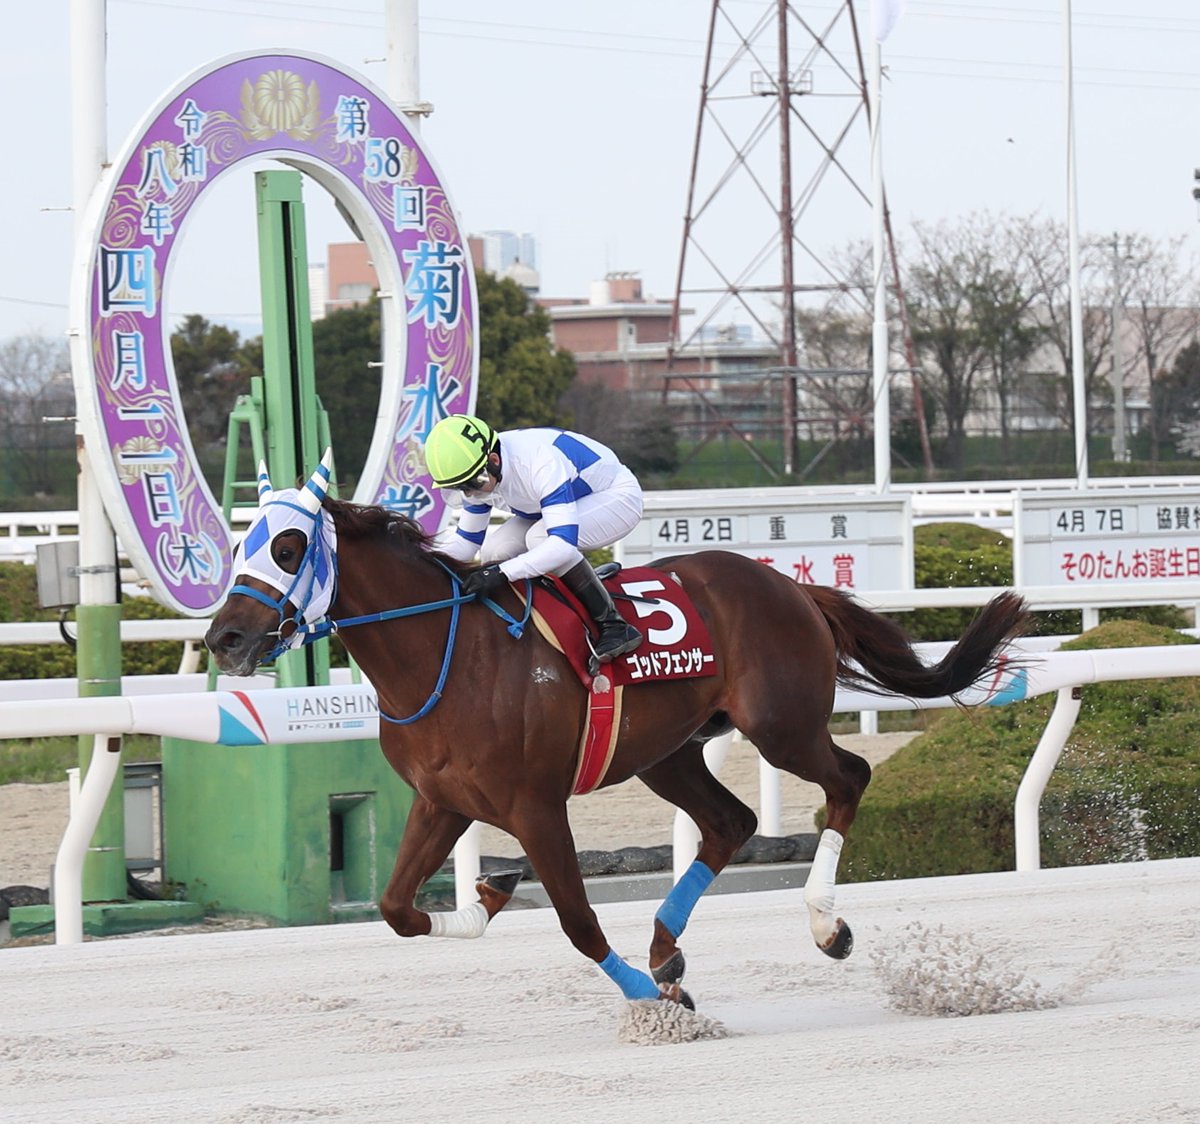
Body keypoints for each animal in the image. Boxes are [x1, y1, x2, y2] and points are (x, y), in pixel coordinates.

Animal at [205, 455, 1029, 1008]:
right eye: (240, 544)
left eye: (286, 548)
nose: (223, 640)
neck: (444, 652)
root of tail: (791, 585)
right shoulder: (444, 800)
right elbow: (397, 910)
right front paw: (494, 893)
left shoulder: (535, 807)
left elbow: (576, 919)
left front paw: (649, 997)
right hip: (666, 752)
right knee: (731, 822)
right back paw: (666, 948)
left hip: (781, 727)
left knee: (848, 779)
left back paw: (825, 928)